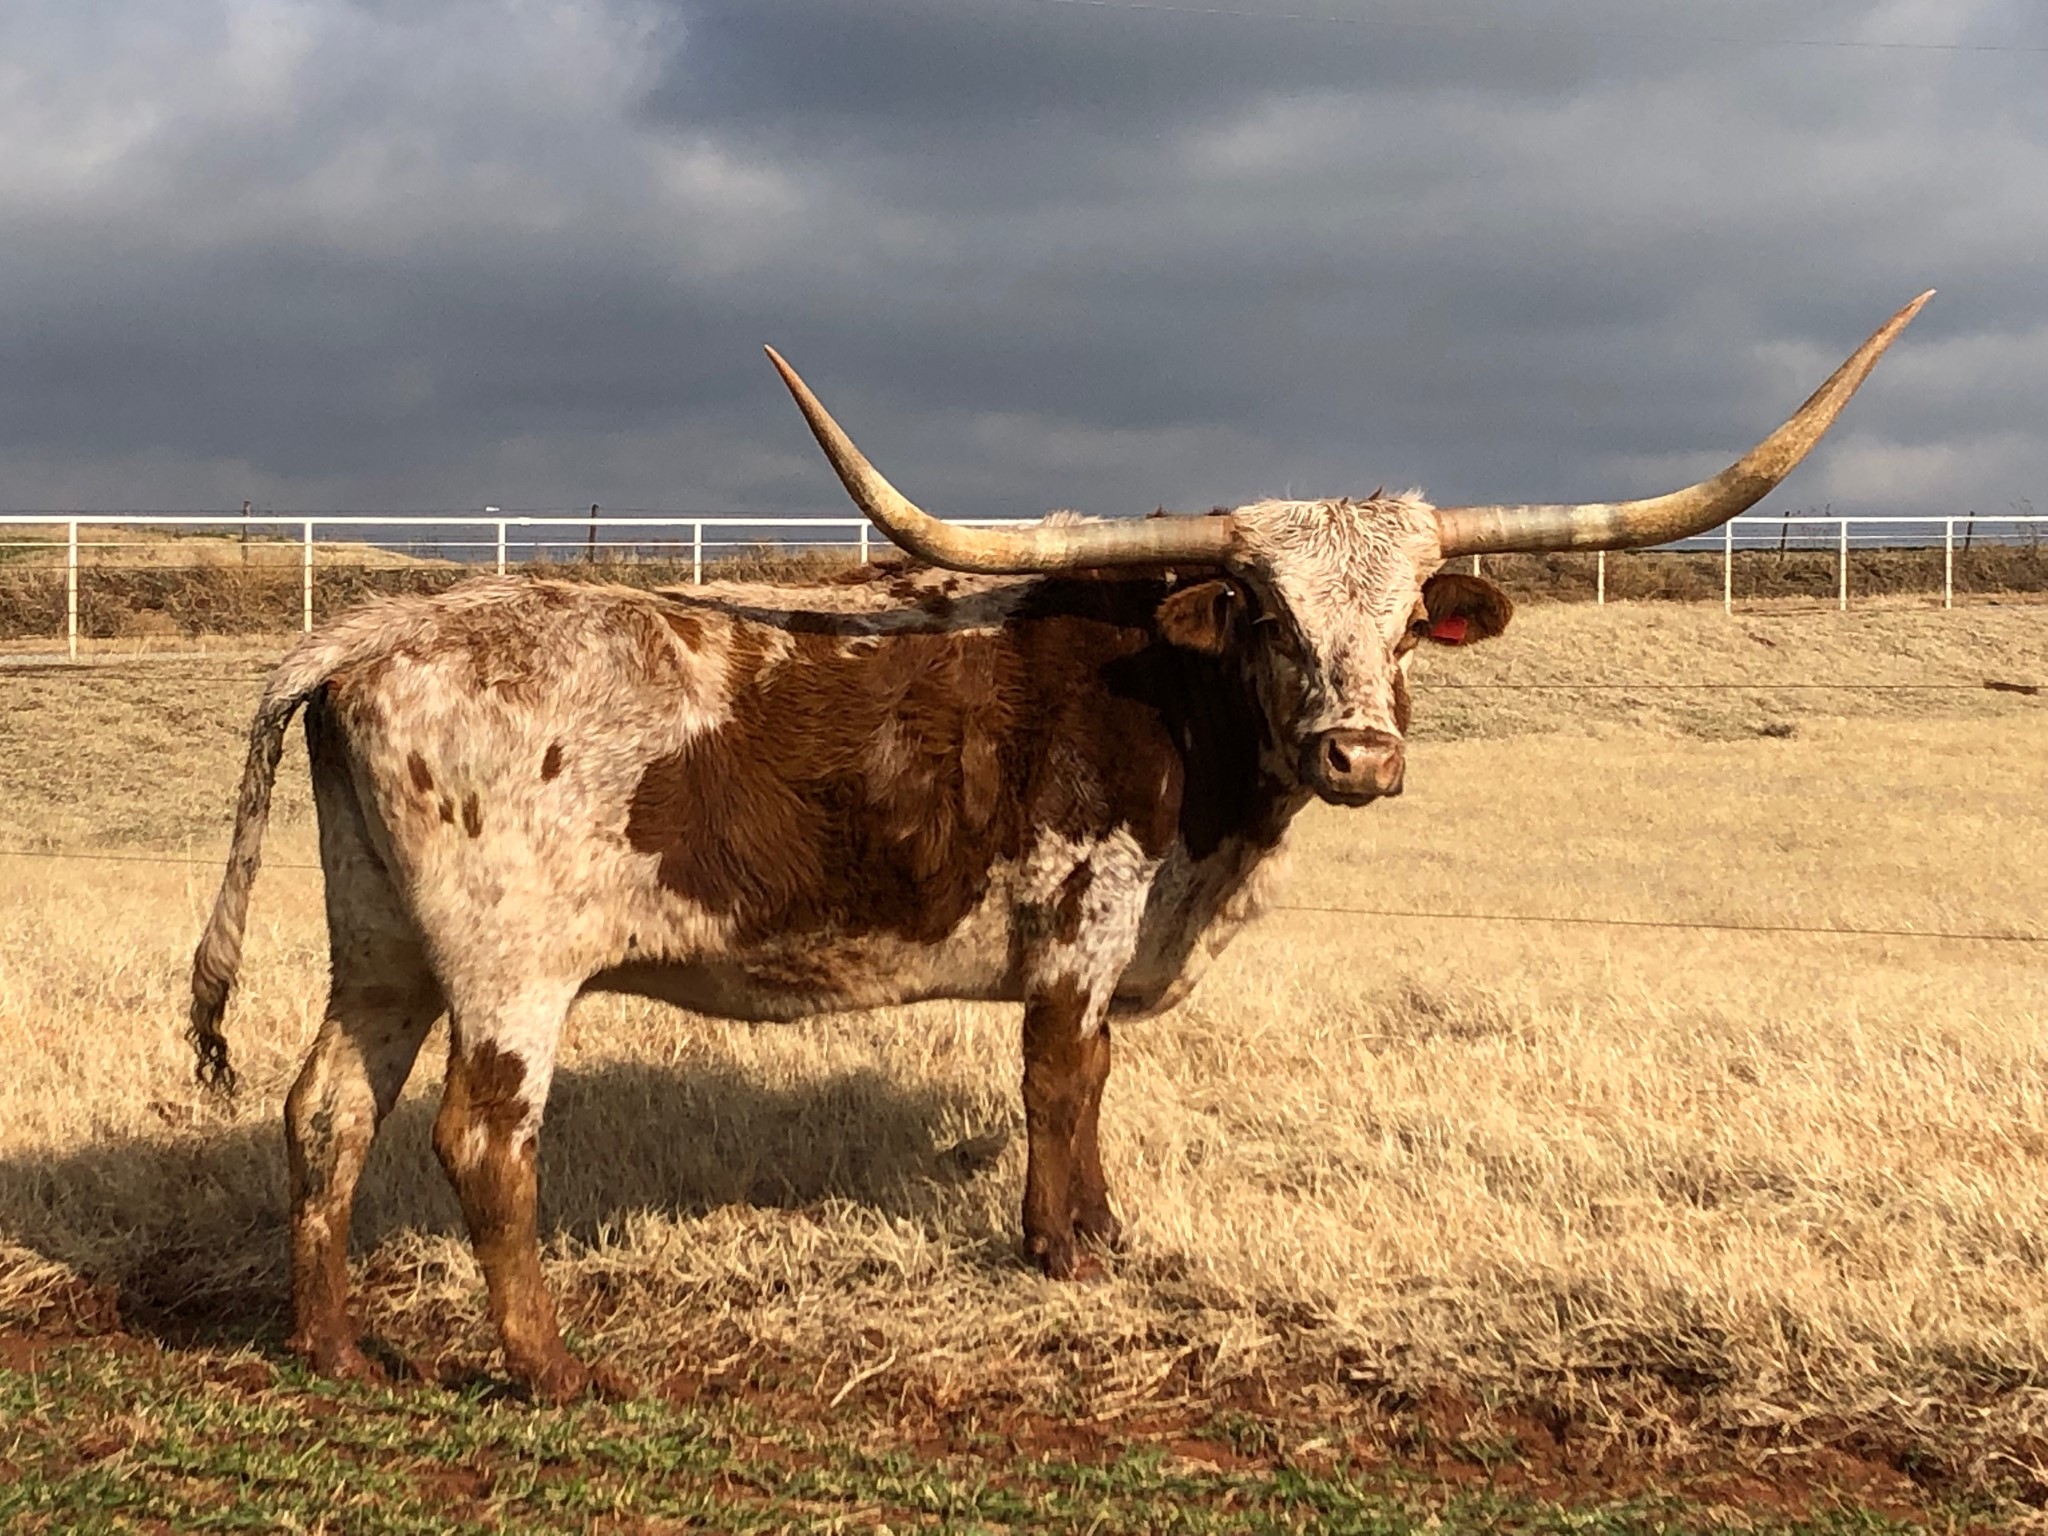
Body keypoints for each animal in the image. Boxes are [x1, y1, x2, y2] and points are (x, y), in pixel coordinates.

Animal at [188, 294, 1928, 1400]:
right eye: (1272, 616)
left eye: (1404, 628)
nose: (1360, 753)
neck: (1178, 713)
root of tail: (366, 634)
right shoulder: (1084, 934)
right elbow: (1063, 1082)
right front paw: (1070, 1252)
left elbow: (1089, 1096)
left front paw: (1105, 1235)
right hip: (509, 968)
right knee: (483, 1142)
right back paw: (550, 1369)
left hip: (384, 948)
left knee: (325, 1109)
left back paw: (334, 1349)